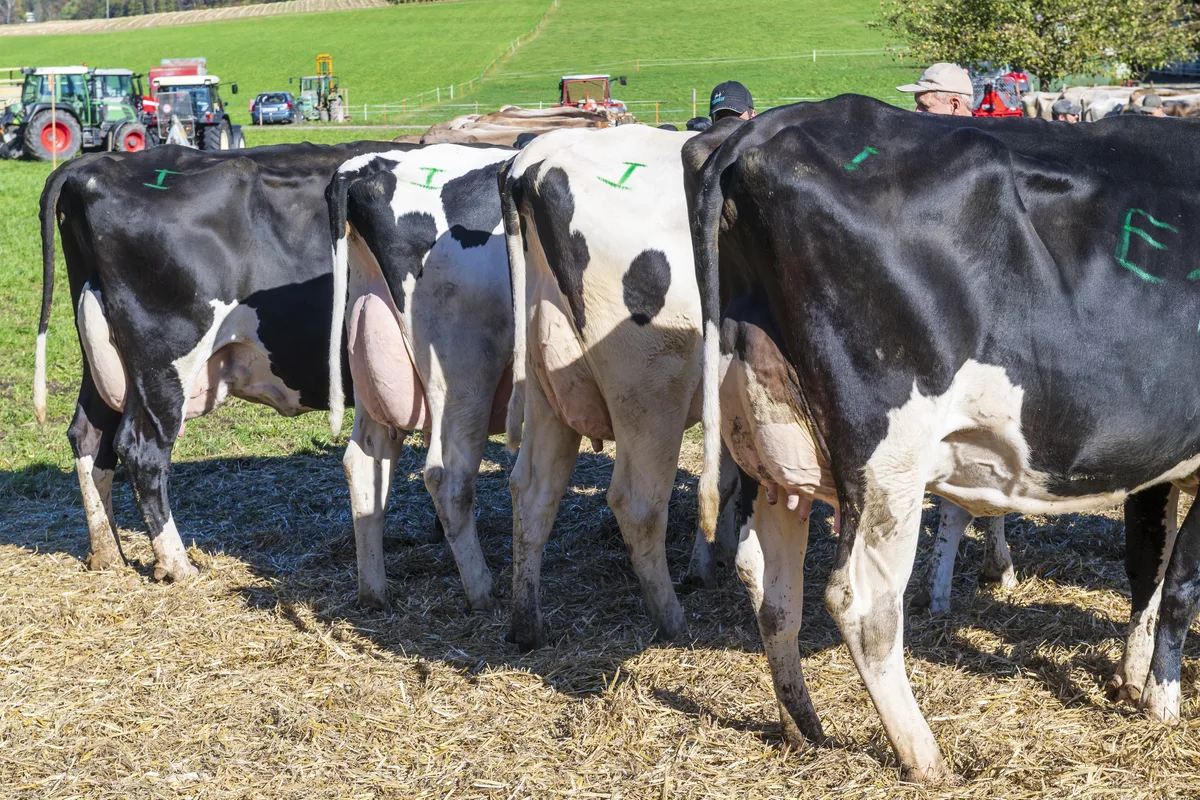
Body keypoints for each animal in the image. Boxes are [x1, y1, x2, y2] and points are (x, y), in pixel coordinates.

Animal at [35, 142, 401, 583]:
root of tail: (93, 163)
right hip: (165, 357)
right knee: (141, 448)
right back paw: (178, 565)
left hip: (102, 354)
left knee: (88, 436)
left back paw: (107, 554)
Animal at [325, 143, 515, 612]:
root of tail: (366, 165)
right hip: (464, 373)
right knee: (447, 477)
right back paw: (483, 592)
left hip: (371, 358)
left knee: (364, 464)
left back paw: (374, 592)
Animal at [499, 124, 740, 650]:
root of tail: (534, 162)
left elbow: (727, 480)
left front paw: (715, 561)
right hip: (652, 392)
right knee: (637, 504)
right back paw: (672, 622)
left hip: (545, 385)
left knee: (532, 491)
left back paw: (527, 625)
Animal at [687, 95, 1200, 781]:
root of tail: (760, 129)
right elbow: (1180, 582)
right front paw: (1162, 704)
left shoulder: (1155, 458)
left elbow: (1147, 565)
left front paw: (1130, 678)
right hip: (888, 459)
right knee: (861, 601)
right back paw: (923, 755)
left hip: (769, 443)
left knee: (770, 584)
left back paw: (805, 730)